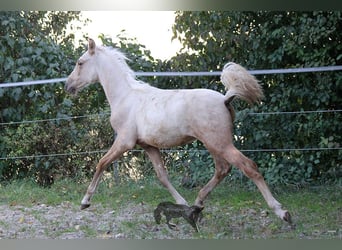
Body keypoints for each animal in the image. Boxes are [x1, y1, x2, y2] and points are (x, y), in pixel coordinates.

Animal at [65, 38, 292, 225]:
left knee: (248, 167)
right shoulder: (148, 146)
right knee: (222, 169)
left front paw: (85, 201)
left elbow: (101, 163)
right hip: (214, 144)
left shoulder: (124, 141)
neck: (126, 97)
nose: (68, 85)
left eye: (80, 62)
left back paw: (282, 212)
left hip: (220, 143)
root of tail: (225, 98)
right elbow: (162, 176)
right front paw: (181, 203)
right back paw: (197, 205)